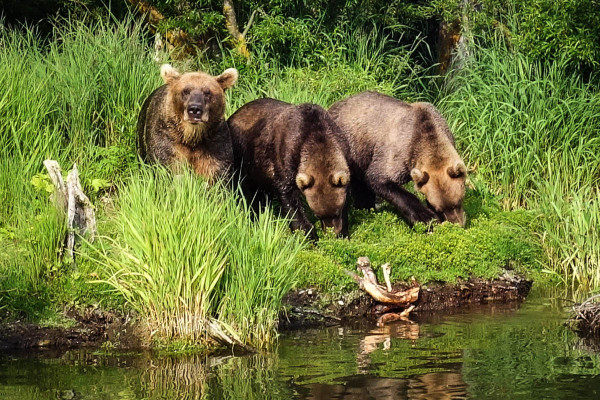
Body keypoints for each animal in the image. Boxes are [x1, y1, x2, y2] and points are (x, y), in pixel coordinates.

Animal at [226, 98, 350, 241]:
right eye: (318, 215)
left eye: (337, 211)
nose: (332, 233)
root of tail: (232, 116)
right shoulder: (286, 155)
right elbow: (289, 197)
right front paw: (307, 234)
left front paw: (343, 233)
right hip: (242, 157)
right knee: (247, 194)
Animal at [330, 92, 466, 227]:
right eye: (439, 208)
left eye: (457, 202)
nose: (458, 224)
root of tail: (334, 105)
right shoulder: (399, 152)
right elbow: (379, 179)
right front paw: (426, 217)